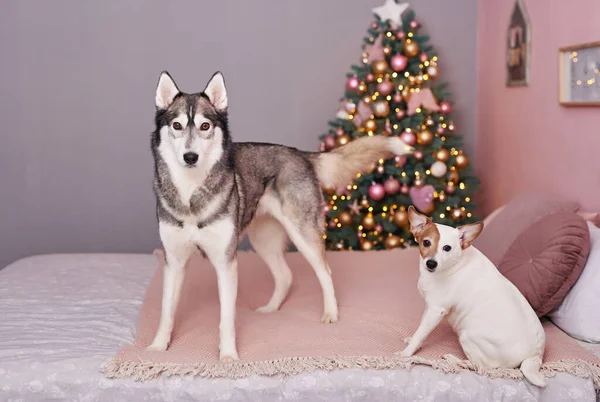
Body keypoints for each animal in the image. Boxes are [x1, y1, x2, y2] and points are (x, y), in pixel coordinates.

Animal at [149, 70, 412, 362]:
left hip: (303, 234)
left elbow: (226, 318)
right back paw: (271, 309)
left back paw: (331, 313)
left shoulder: (226, 262)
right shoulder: (174, 261)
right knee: (285, 275)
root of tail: (300, 154)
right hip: (263, 240)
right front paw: (157, 348)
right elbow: (166, 312)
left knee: (325, 271)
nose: (190, 156)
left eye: (205, 126)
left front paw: (228, 355)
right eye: (177, 126)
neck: (191, 192)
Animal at [398, 206, 548, 388]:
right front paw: (412, 340)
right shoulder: (430, 307)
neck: (455, 263)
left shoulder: (436, 310)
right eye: (426, 242)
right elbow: (420, 331)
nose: (431, 263)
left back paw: (455, 360)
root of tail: (534, 356)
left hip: (467, 336)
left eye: (447, 248)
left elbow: (421, 333)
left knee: (481, 366)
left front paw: (407, 353)